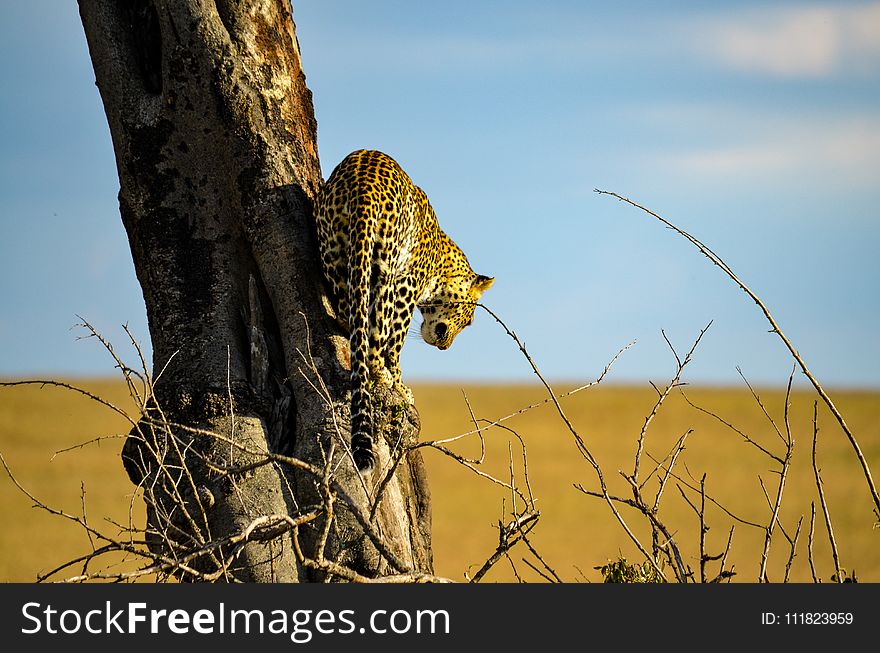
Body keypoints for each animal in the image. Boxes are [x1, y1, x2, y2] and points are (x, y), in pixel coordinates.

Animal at [314, 150, 496, 472]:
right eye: (468, 321)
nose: (445, 347)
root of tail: (363, 187)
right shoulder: (407, 286)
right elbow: (393, 342)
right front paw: (401, 385)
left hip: (334, 253)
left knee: (350, 314)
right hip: (386, 269)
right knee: (376, 338)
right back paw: (385, 377)